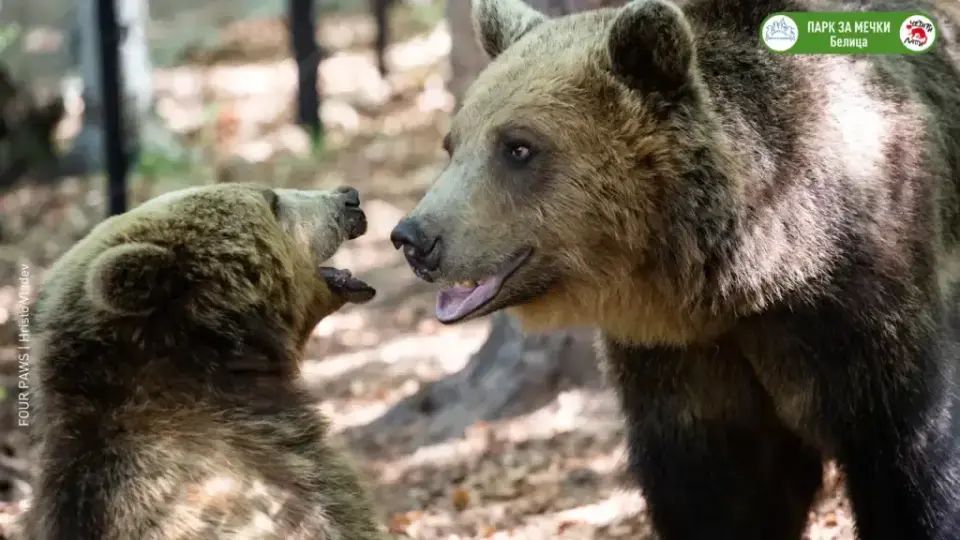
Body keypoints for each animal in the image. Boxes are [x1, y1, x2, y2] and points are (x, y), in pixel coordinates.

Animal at [390, 1, 960, 540]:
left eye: (518, 146)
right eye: (453, 144)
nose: (414, 238)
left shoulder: (858, 315)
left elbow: (909, 464)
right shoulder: (680, 363)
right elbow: (719, 498)